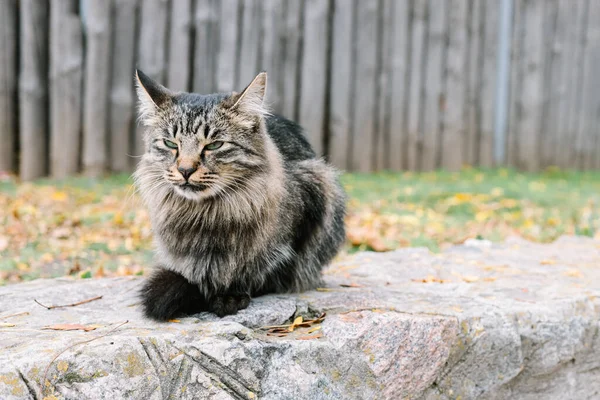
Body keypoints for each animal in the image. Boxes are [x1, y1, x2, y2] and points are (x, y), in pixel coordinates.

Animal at [133, 69, 344, 322]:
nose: (185, 170)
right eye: (170, 144)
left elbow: (259, 271)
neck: (205, 216)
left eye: (214, 145)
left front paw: (229, 295)